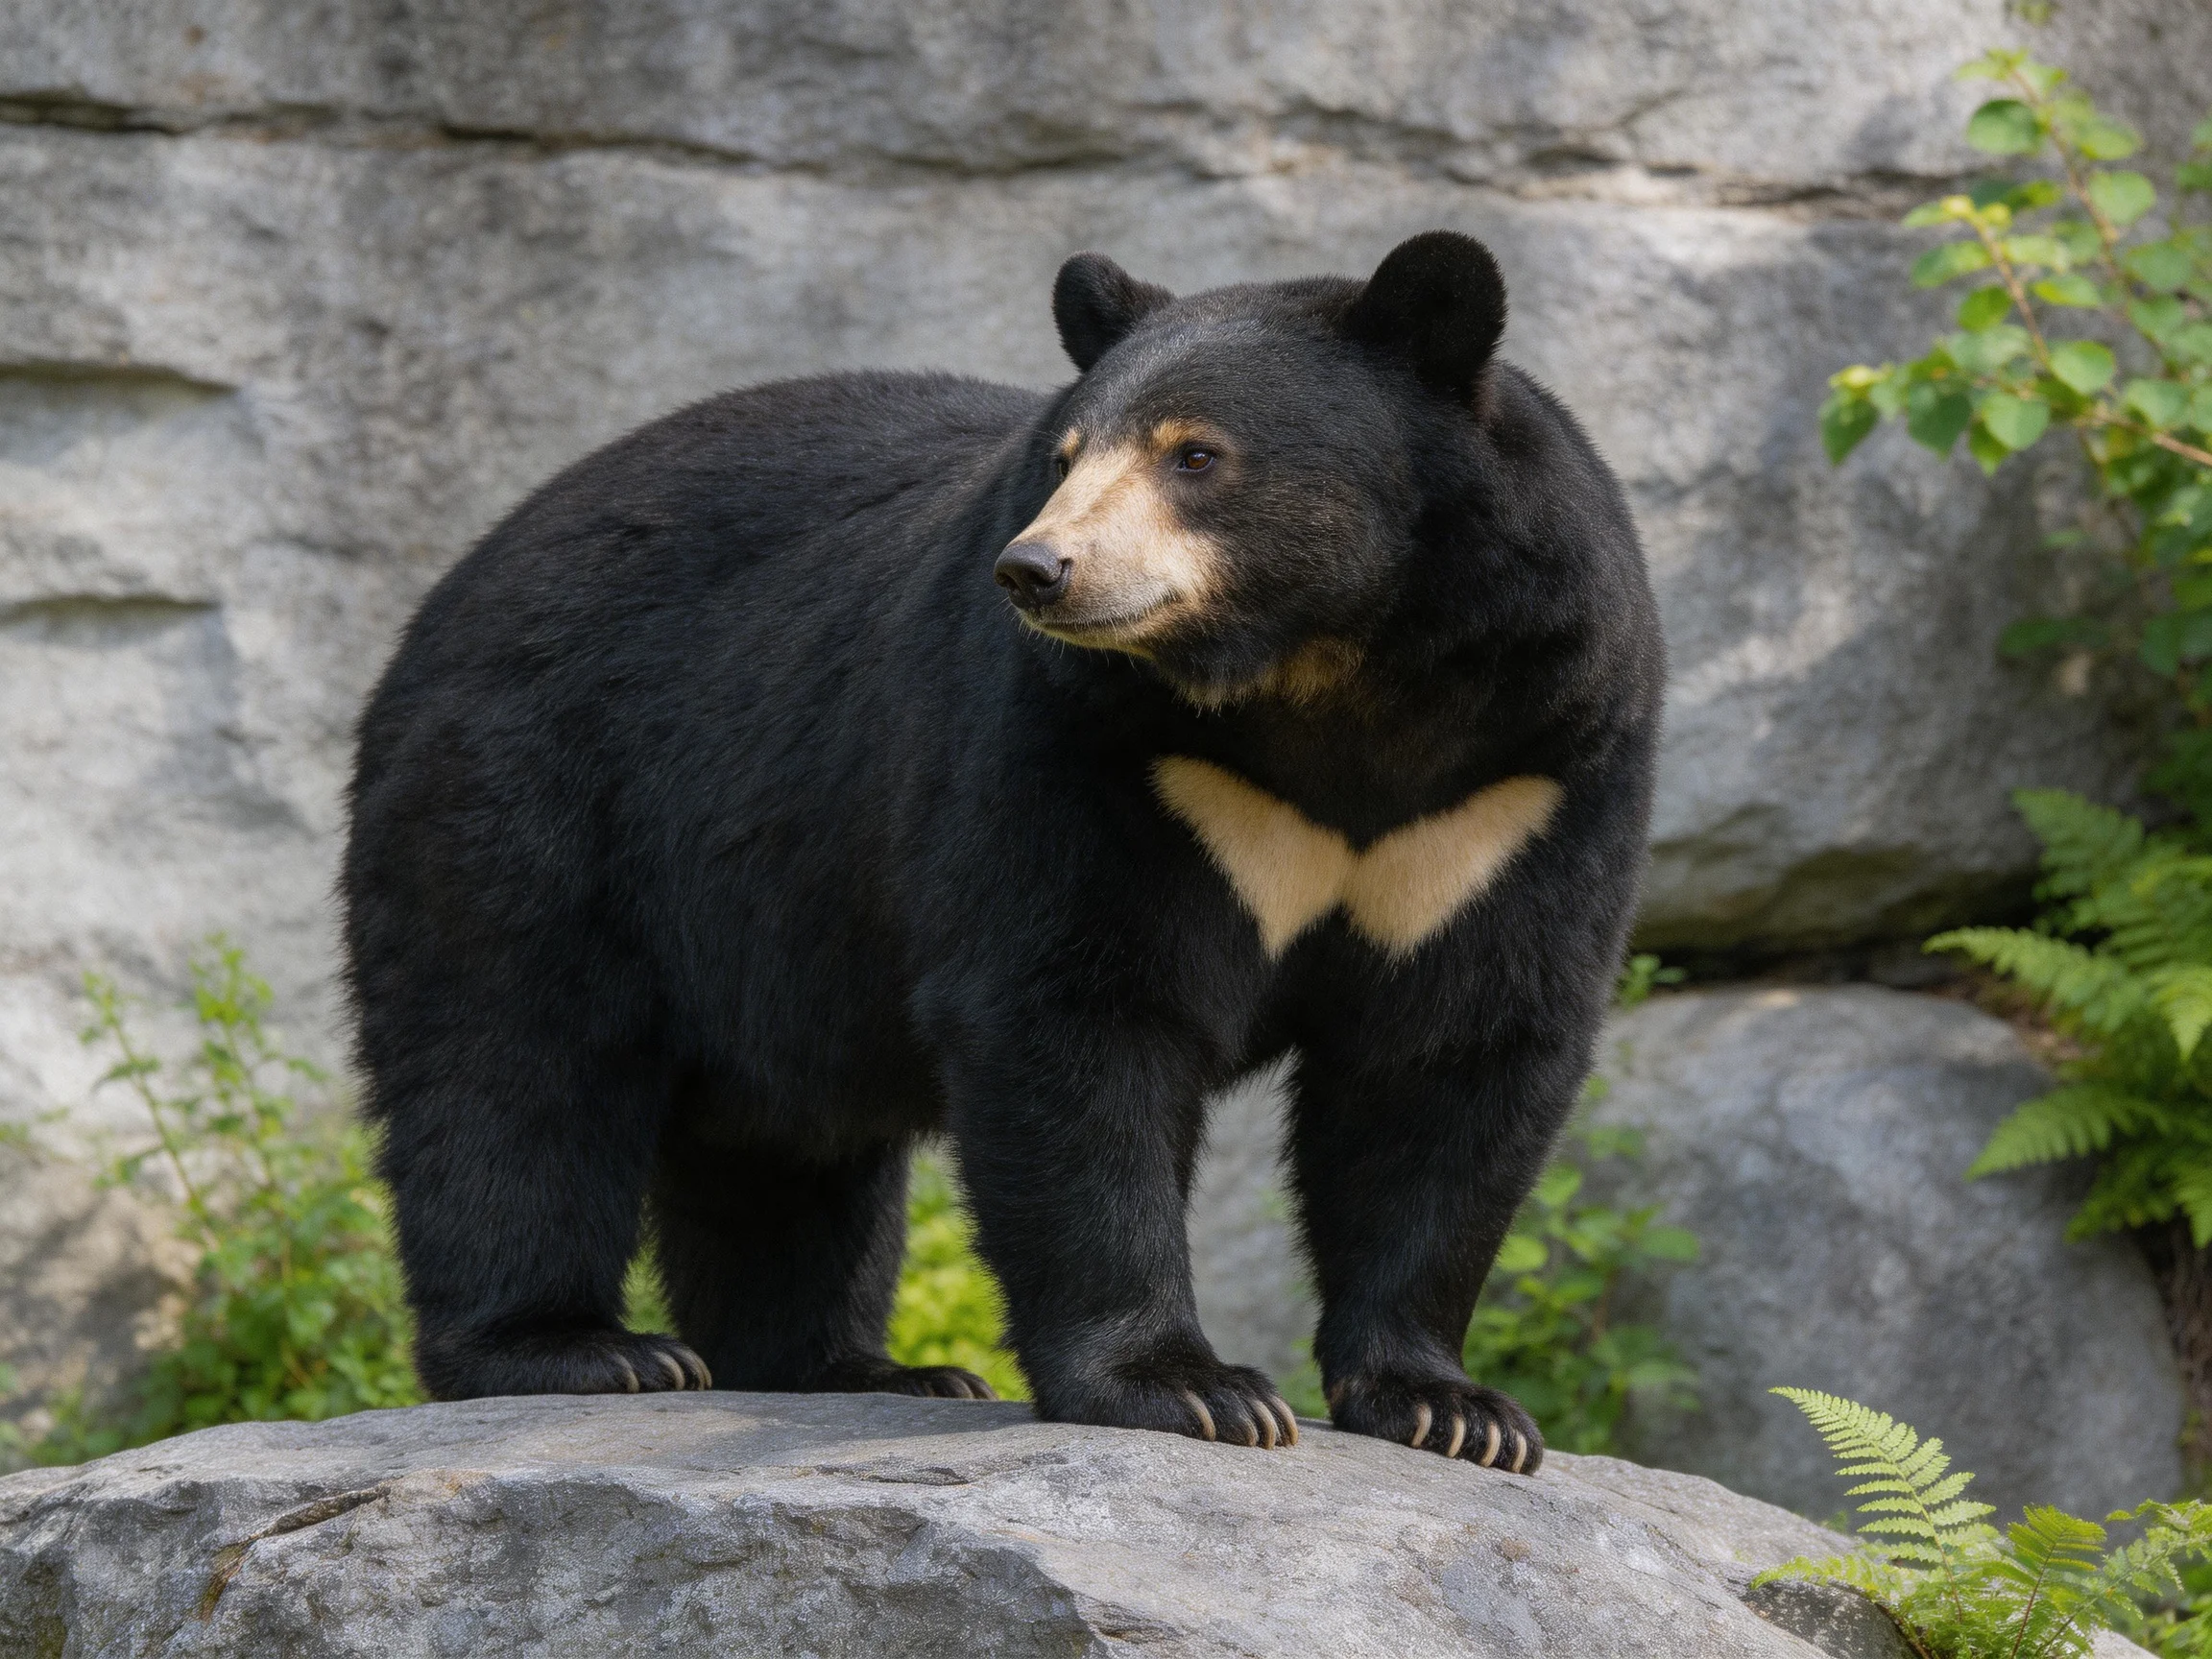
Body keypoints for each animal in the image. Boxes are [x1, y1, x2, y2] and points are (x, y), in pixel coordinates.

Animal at [343, 230, 1663, 1473]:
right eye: (1069, 455)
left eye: (1196, 454)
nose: (1038, 569)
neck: (1324, 678)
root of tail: (464, 576)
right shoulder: (1094, 748)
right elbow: (1075, 1011)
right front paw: (1191, 1389)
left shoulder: (1521, 780)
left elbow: (1453, 1058)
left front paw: (1452, 1410)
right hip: (537, 786)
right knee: (514, 1060)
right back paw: (580, 1348)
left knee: (785, 1145)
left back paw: (859, 1367)